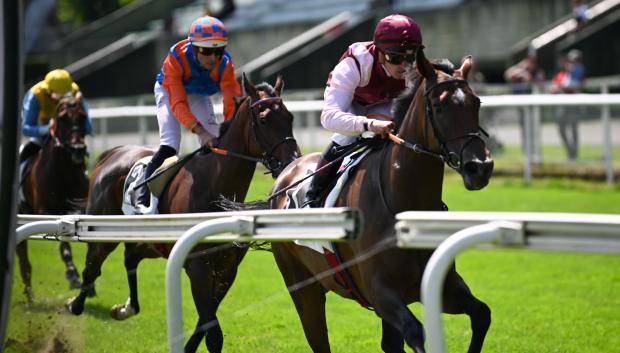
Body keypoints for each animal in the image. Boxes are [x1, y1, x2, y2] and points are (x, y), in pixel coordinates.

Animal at [16, 95, 88, 302]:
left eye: (82, 116)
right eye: (62, 118)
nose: (78, 149)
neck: (63, 172)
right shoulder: (47, 211)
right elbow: (64, 244)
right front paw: (72, 274)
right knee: (24, 261)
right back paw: (29, 297)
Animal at [65, 75, 300, 352]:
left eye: (290, 117)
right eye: (264, 119)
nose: (293, 160)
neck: (213, 184)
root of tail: (111, 154)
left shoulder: (227, 269)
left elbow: (205, 322)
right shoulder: (196, 266)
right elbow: (212, 332)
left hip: (151, 242)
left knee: (130, 257)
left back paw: (126, 308)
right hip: (102, 232)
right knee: (92, 269)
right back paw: (75, 304)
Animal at [266, 48, 494, 352]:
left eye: (476, 102)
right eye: (440, 106)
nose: (480, 167)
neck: (403, 204)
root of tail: (285, 174)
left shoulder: (443, 287)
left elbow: (481, 314)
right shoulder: (379, 292)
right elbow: (416, 333)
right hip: (303, 286)